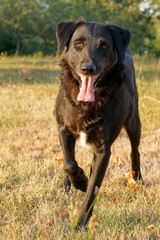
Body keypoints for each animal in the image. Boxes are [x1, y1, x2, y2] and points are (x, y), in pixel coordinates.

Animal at [55, 21, 141, 229]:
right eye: (78, 44)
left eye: (104, 46)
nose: (88, 69)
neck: (87, 103)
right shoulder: (63, 128)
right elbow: (69, 163)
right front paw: (80, 182)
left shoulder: (104, 148)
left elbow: (93, 188)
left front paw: (81, 223)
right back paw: (67, 185)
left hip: (134, 122)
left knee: (135, 150)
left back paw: (137, 177)